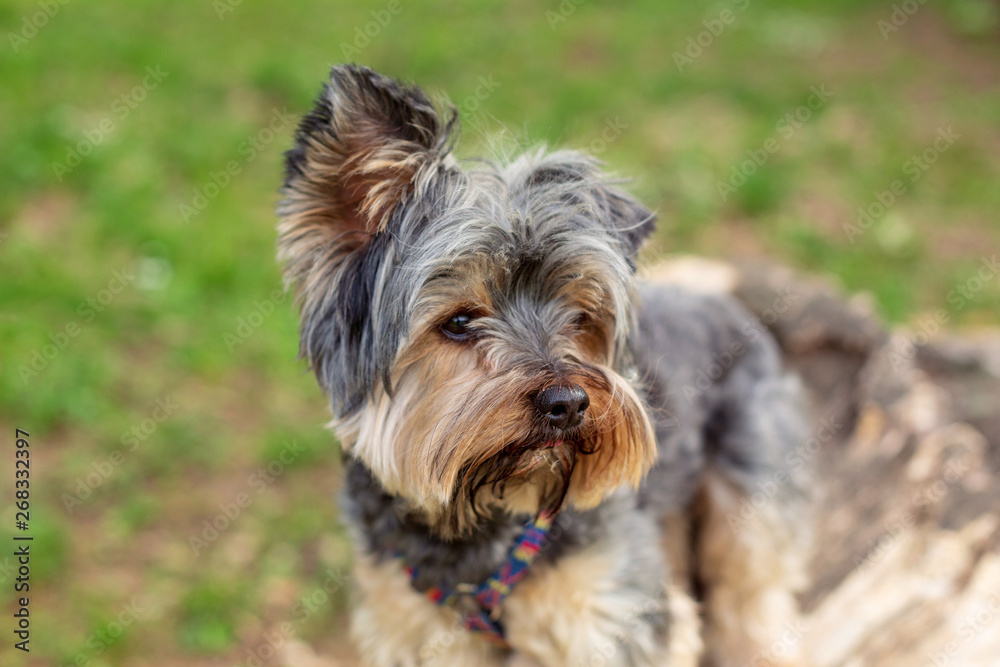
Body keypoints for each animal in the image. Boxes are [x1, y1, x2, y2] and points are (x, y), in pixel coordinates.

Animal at [278, 64, 808, 667]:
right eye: (460, 321)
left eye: (580, 317)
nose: (570, 403)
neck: (482, 521)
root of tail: (728, 305)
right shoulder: (415, 630)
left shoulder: (612, 614)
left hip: (756, 471)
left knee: (753, 594)